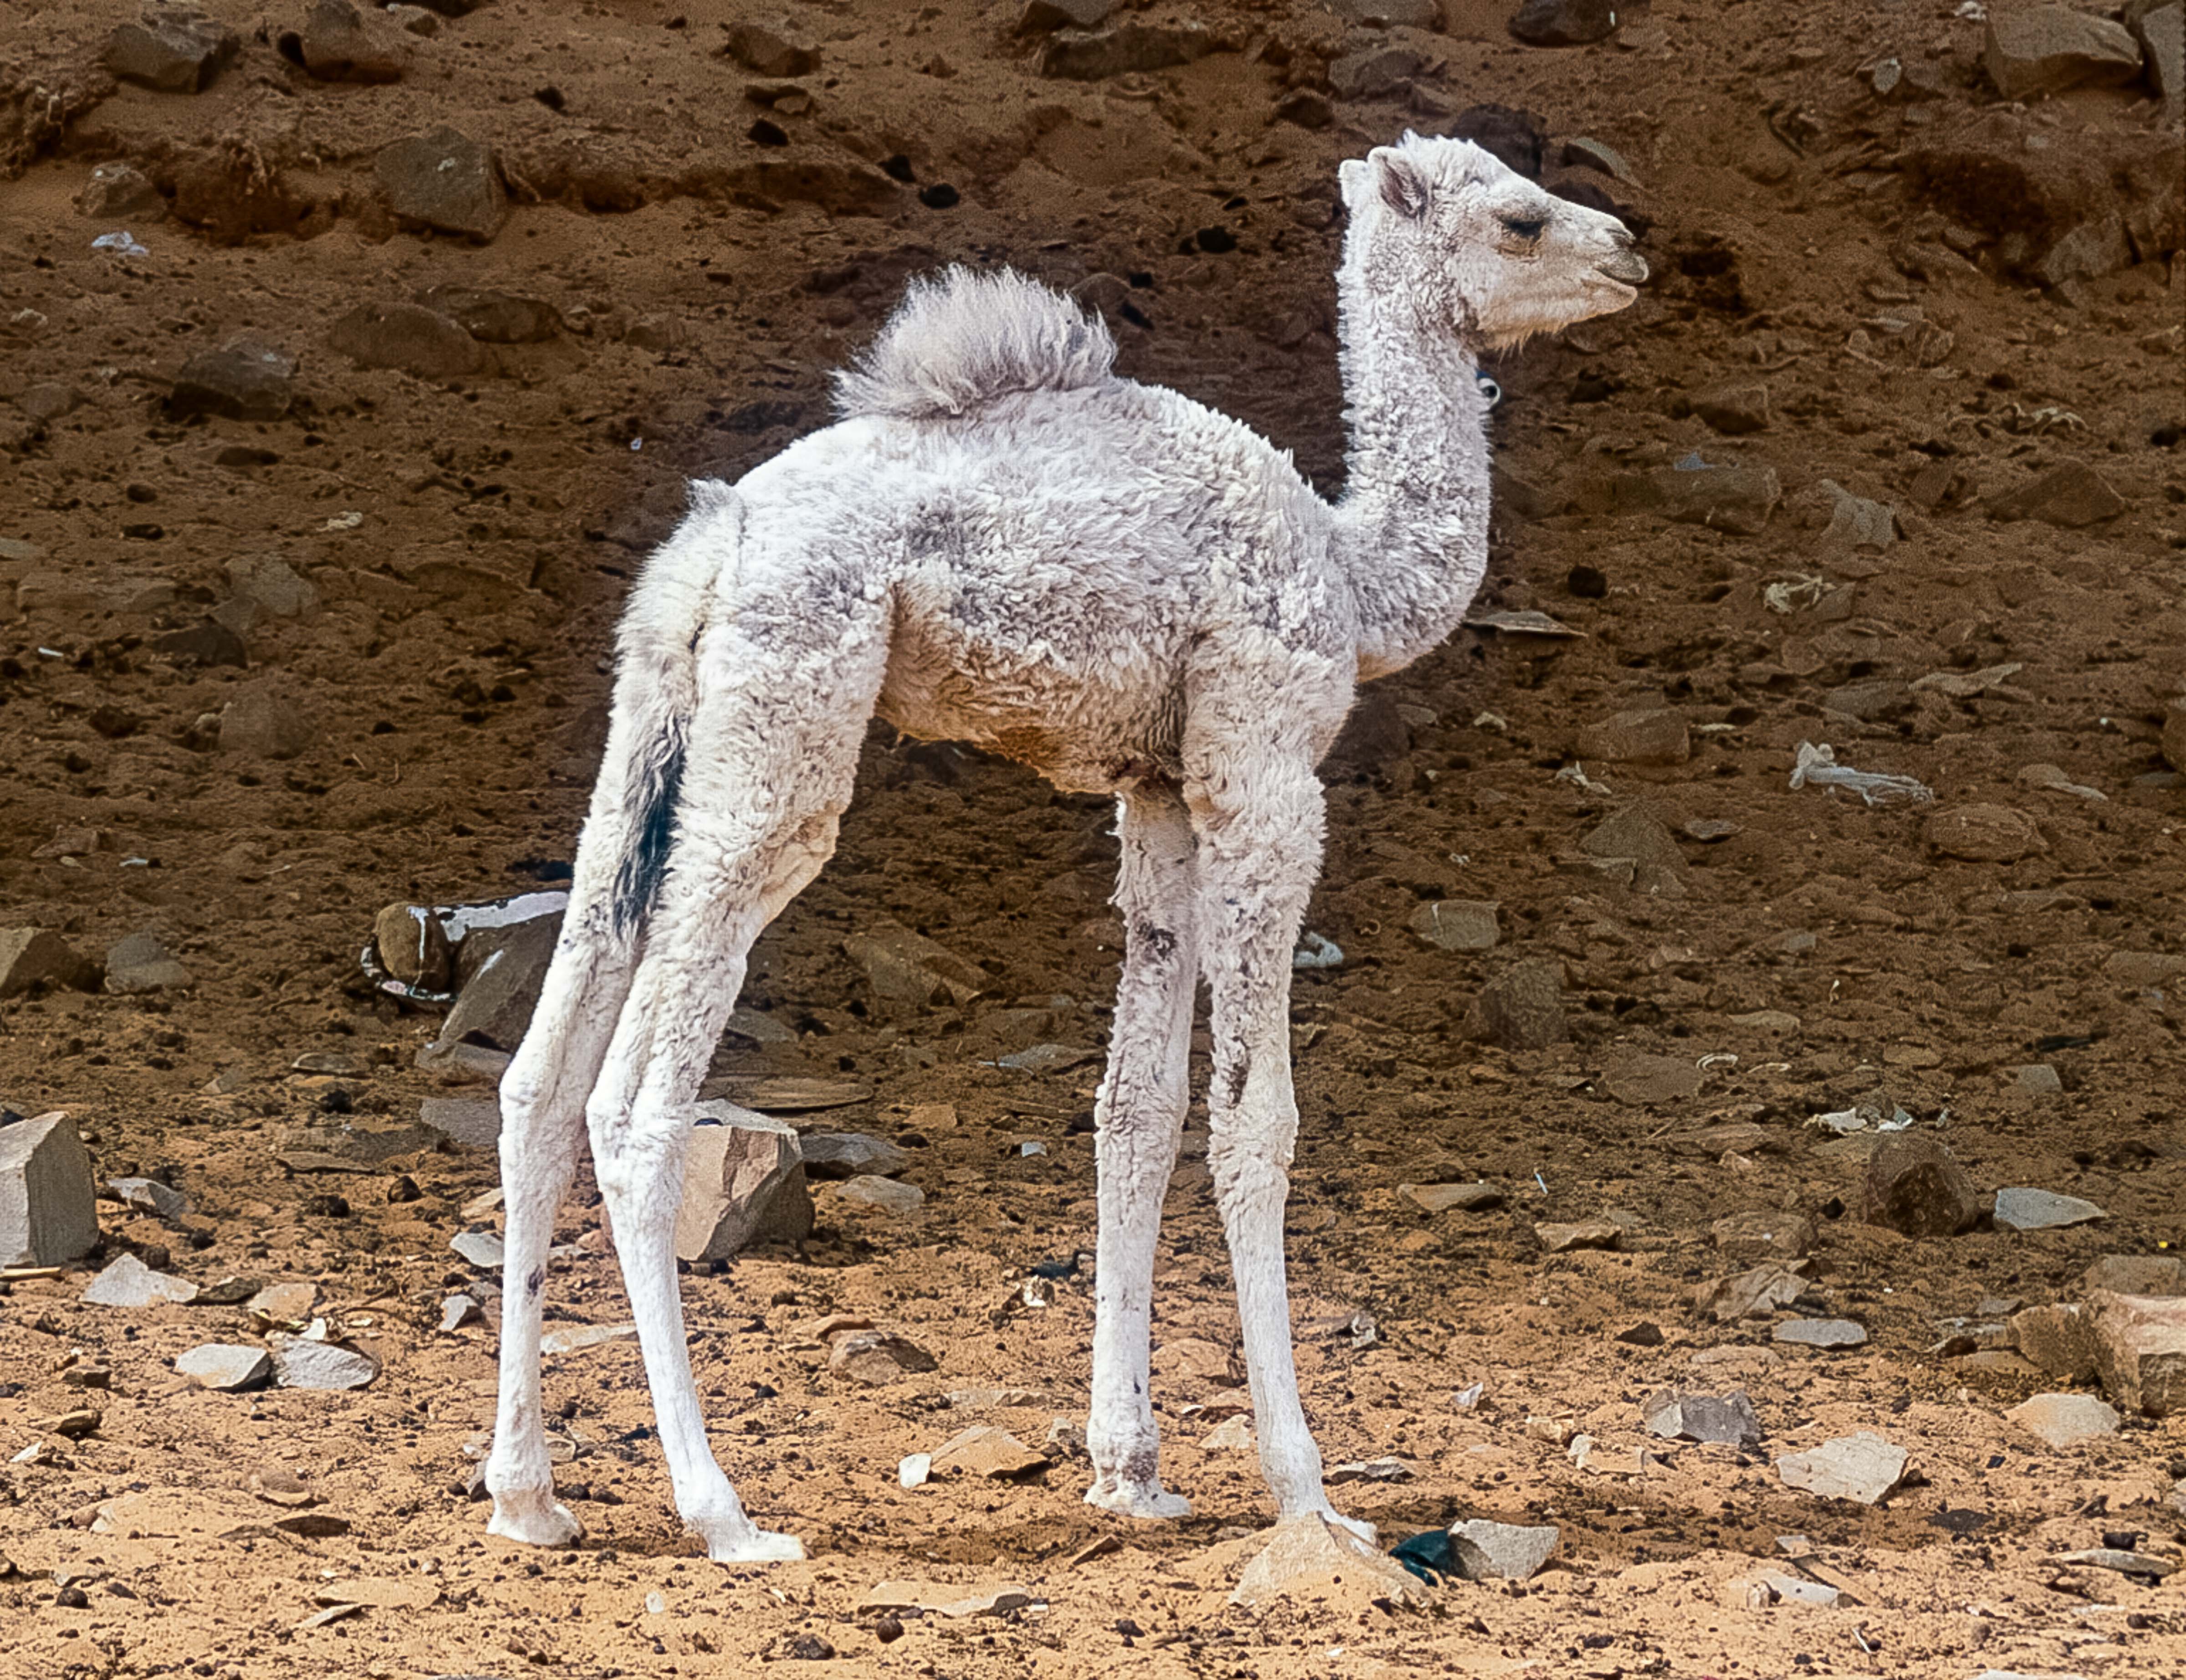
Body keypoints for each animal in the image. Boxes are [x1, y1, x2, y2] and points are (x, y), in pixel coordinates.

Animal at [479, 134, 1644, 1555]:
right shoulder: (1262, 774)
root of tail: (714, 540)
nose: (1629, 252)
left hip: (649, 737)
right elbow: (1255, 1119)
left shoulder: (1157, 795)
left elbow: (1131, 1111)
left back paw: (528, 1495)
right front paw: (1310, 1493)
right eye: (1522, 219)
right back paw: (721, 1509)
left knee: (539, 1078)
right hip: (782, 738)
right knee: (636, 1106)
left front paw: (1130, 1469)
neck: (1356, 579)